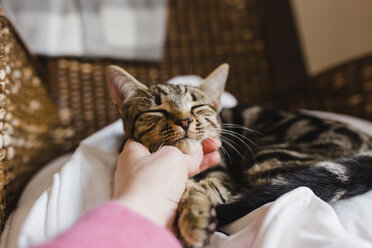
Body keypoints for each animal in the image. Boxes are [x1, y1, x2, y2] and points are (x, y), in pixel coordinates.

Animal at [105, 64, 372, 248]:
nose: (185, 120)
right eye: (157, 110)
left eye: (197, 108)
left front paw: (195, 218)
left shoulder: (224, 176)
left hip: (271, 159)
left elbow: (203, 188)